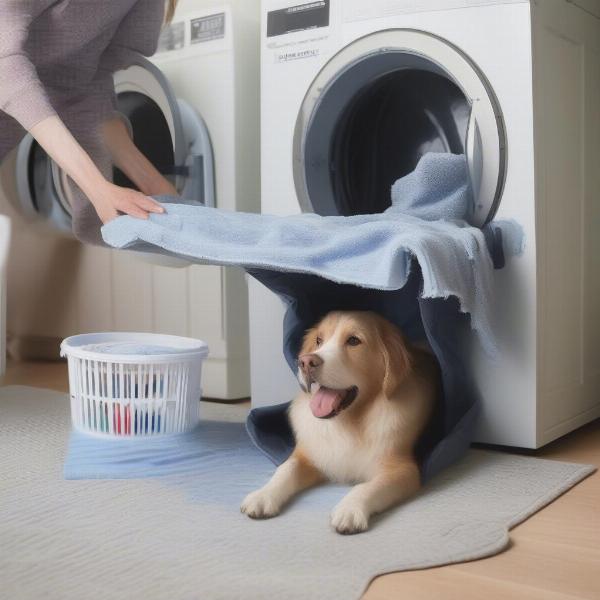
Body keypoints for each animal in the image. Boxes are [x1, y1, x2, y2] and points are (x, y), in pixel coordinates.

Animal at [240, 312, 440, 532]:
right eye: (319, 340)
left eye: (353, 341)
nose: (306, 362)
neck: (350, 421)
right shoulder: (308, 454)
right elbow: (285, 470)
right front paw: (263, 495)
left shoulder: (403, 468)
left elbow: (368, 486)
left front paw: (350, 509)